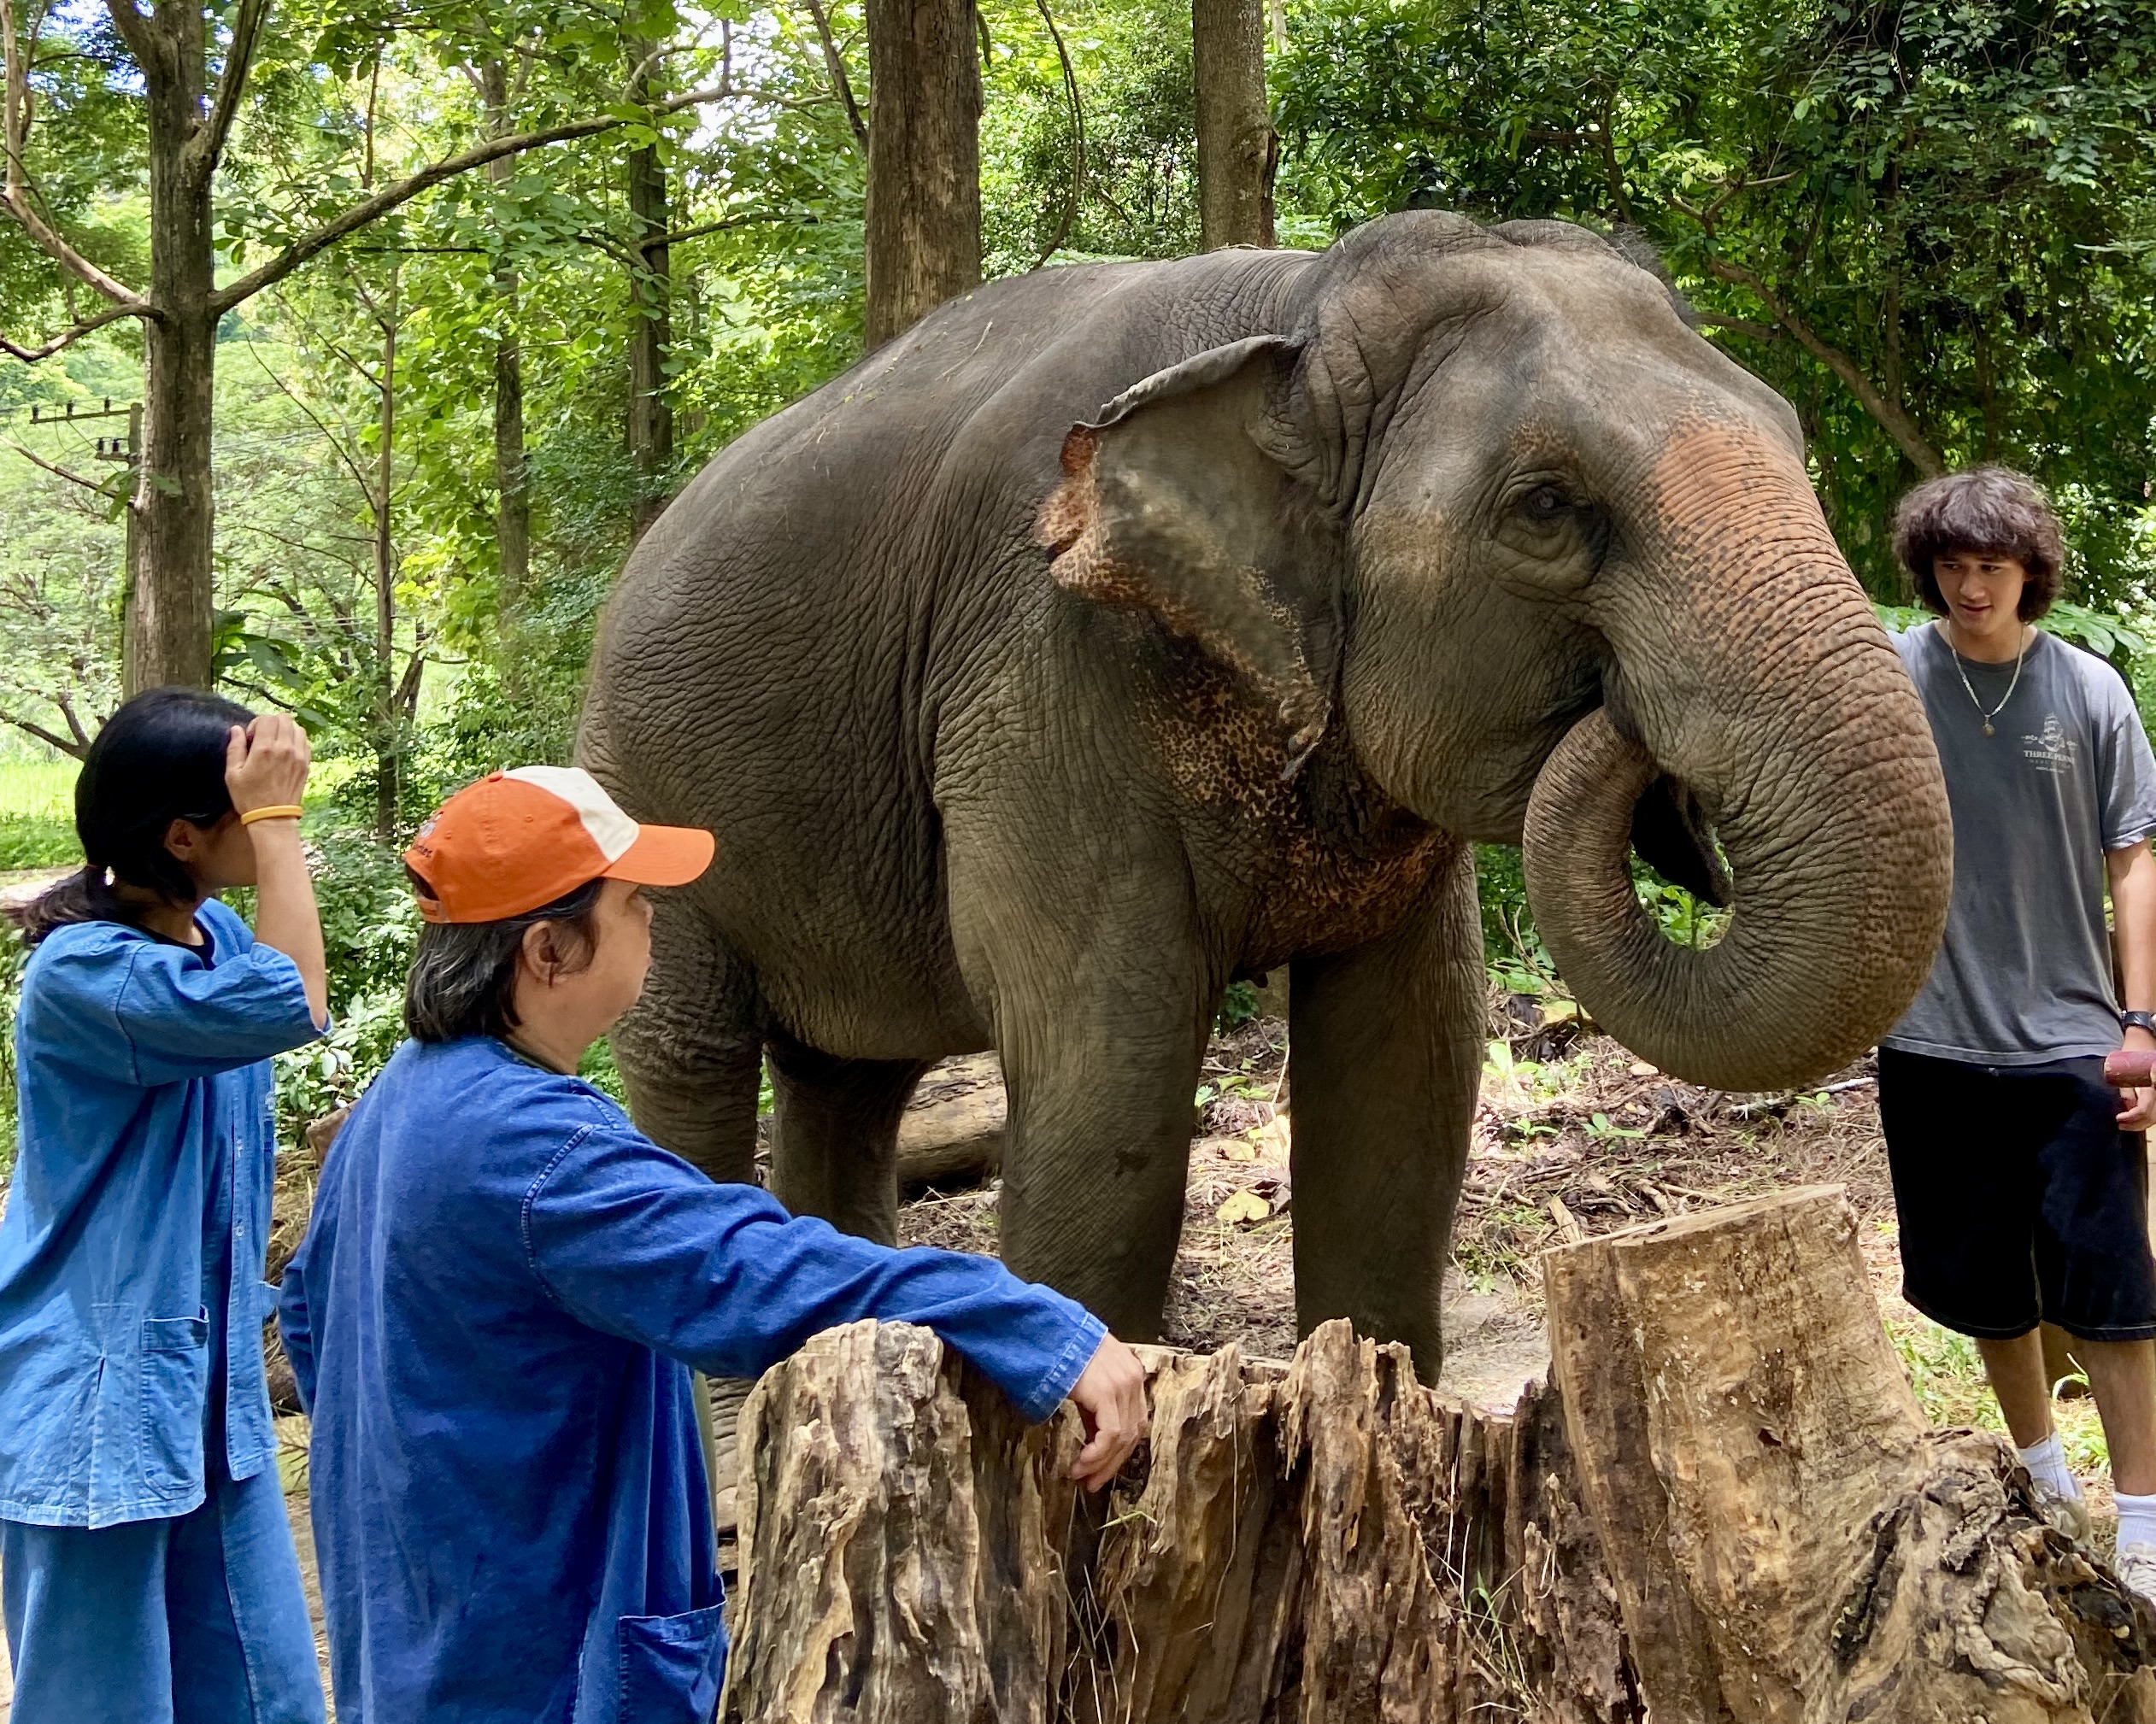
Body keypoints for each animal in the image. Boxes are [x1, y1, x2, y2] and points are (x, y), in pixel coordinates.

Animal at [578, 210, 1952, 1379]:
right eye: (1548, 507)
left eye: (1796, 442)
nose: (1629, 729)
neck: (1298, 311)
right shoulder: (1040, 669)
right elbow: (1110, 1083)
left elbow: (1406, 1076)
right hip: (635, 786)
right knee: (693, 1068)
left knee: (849, 1084)